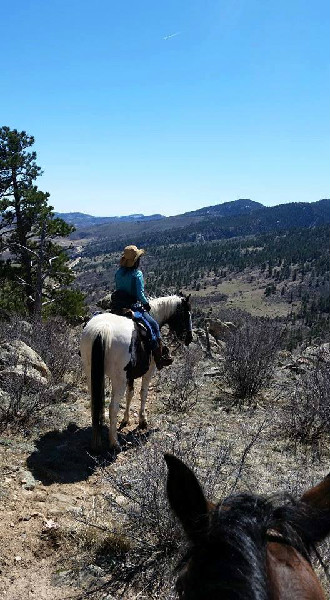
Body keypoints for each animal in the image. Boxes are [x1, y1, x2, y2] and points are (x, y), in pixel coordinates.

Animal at [80, 292, 193, 452]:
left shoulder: (130, 374)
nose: (189, 338)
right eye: (186, 313)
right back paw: (114, 443)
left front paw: (126, 420)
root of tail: (102, 329)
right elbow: (143, 393)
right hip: (118, 379)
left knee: (95, 402)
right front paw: (142, 420)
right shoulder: (149, 370)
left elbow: (130, 394)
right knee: (113, 407)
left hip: (91, 372)